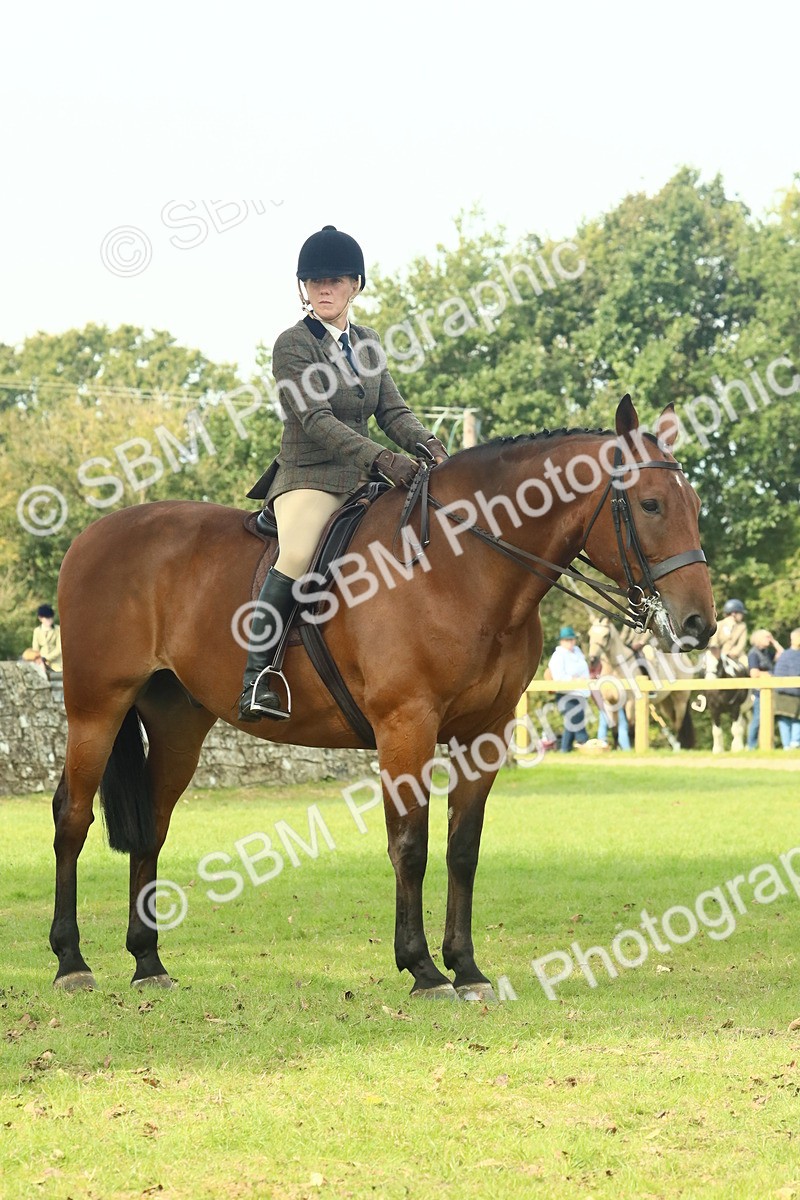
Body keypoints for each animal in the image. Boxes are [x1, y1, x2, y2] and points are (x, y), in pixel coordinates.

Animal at [587, 619, 697, 750]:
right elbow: (614, 730)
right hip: (667, 703)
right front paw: (616, 749)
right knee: (675, 722)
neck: (615, 667)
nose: (592, 659)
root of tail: (686, 661)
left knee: (679, 724)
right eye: (590, 634)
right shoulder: (610, 702)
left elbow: (630, 728)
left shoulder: (630, 703)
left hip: (680, 700)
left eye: (606, 635)